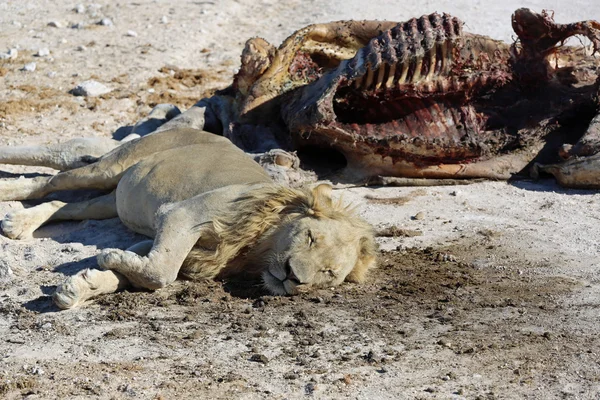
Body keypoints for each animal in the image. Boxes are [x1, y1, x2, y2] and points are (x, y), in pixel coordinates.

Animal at [0, 128, 376, 310]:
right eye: (310, 237)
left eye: (328, 273)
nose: (293, 276)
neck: (256, 249)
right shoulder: (183, 214)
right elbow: (161, 272)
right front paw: (106, 259)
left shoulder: (167, 244)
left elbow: (139, 272)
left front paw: (82, 285)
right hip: (110, 167)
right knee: (52, 178)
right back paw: (10, 198)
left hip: (116, 198)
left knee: (65, 205)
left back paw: (21, 225)